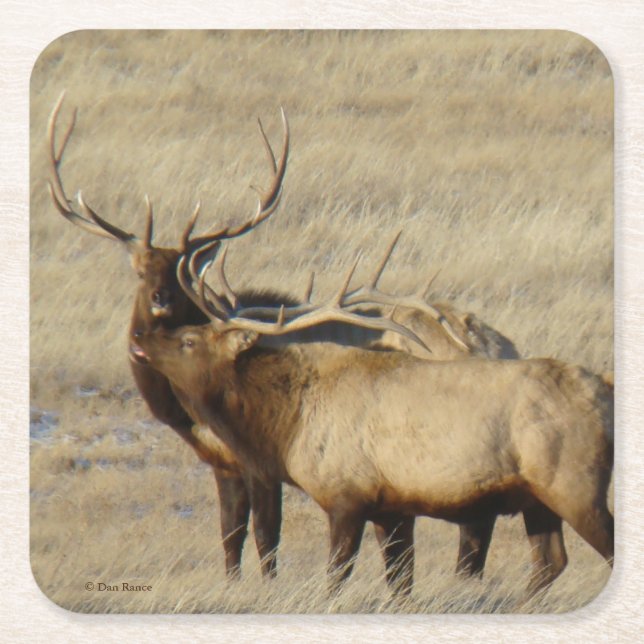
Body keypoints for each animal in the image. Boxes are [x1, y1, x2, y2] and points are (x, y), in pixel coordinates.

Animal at [130, 241, 614, 599]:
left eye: (189, 340)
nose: (141, 340)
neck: (287, 426)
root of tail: (605, 390)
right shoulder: (391, 507)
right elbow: (400, 583)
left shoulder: (347, 496)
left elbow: (334, 578)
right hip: (538, 499)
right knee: (549, 562)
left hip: (575, 485)